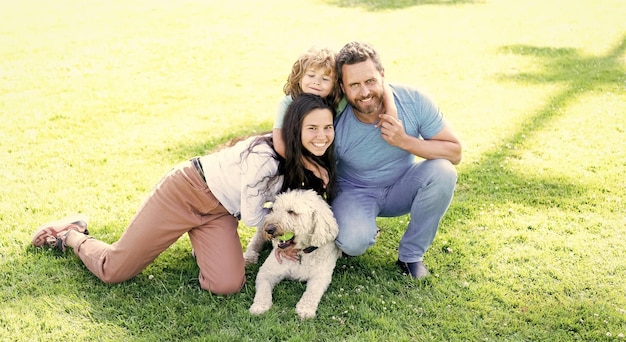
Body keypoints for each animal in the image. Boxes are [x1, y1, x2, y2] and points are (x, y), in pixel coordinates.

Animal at [241, 188, 338, 320]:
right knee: (256, 239)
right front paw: (259, 306)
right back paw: (249, 257)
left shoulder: (321, 277)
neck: (301, 252)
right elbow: (263, 290)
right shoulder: (266, 271)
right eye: (274, 210)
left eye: (291, 211)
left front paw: (305, 309)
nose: (269, 229)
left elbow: (312, 292)